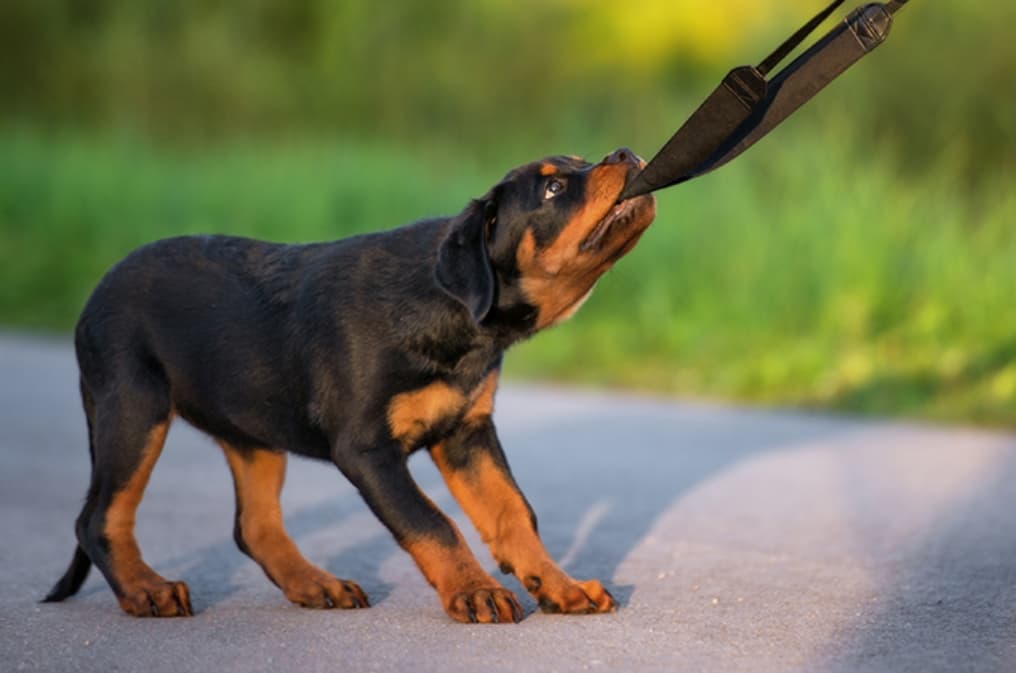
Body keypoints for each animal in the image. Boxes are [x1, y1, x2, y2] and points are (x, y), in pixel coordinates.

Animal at [41, 147, 658, 622]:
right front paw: (475, 592)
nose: (626, 153)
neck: (452, 310)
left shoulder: (466, 432)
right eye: (553, 188)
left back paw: (317, 585)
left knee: (253, 526)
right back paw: (148, 590)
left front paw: (561, 587)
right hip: (134, 406)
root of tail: (93, 296)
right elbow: (431, 522)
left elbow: (513, 512)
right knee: (98, 518)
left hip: (250, 428)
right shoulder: (365, 448)